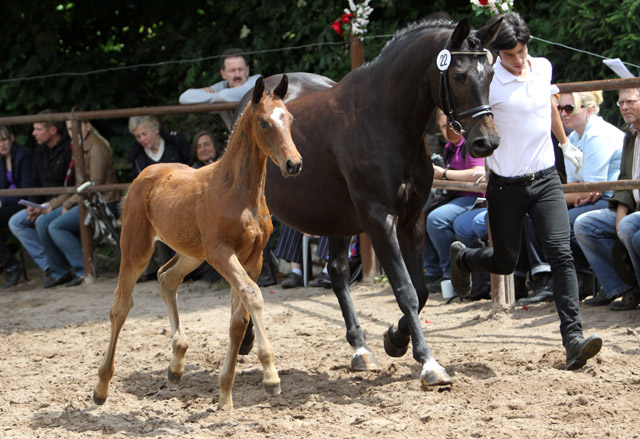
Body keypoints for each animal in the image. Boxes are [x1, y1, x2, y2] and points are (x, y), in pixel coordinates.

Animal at [94, 75, 302, 410]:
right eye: (263, 122)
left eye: (290, 119)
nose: (293, 164)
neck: (239, 191)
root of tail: (146, 173)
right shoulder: (221, 253)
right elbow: (253, 296)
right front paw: (271, 377)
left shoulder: (252, 258)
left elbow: (238, 320)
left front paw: (225, 395)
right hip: (137, 249)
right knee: (120, 306)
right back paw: (101, 387)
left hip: (191, 252)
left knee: (166, 278)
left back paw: (176, 364)